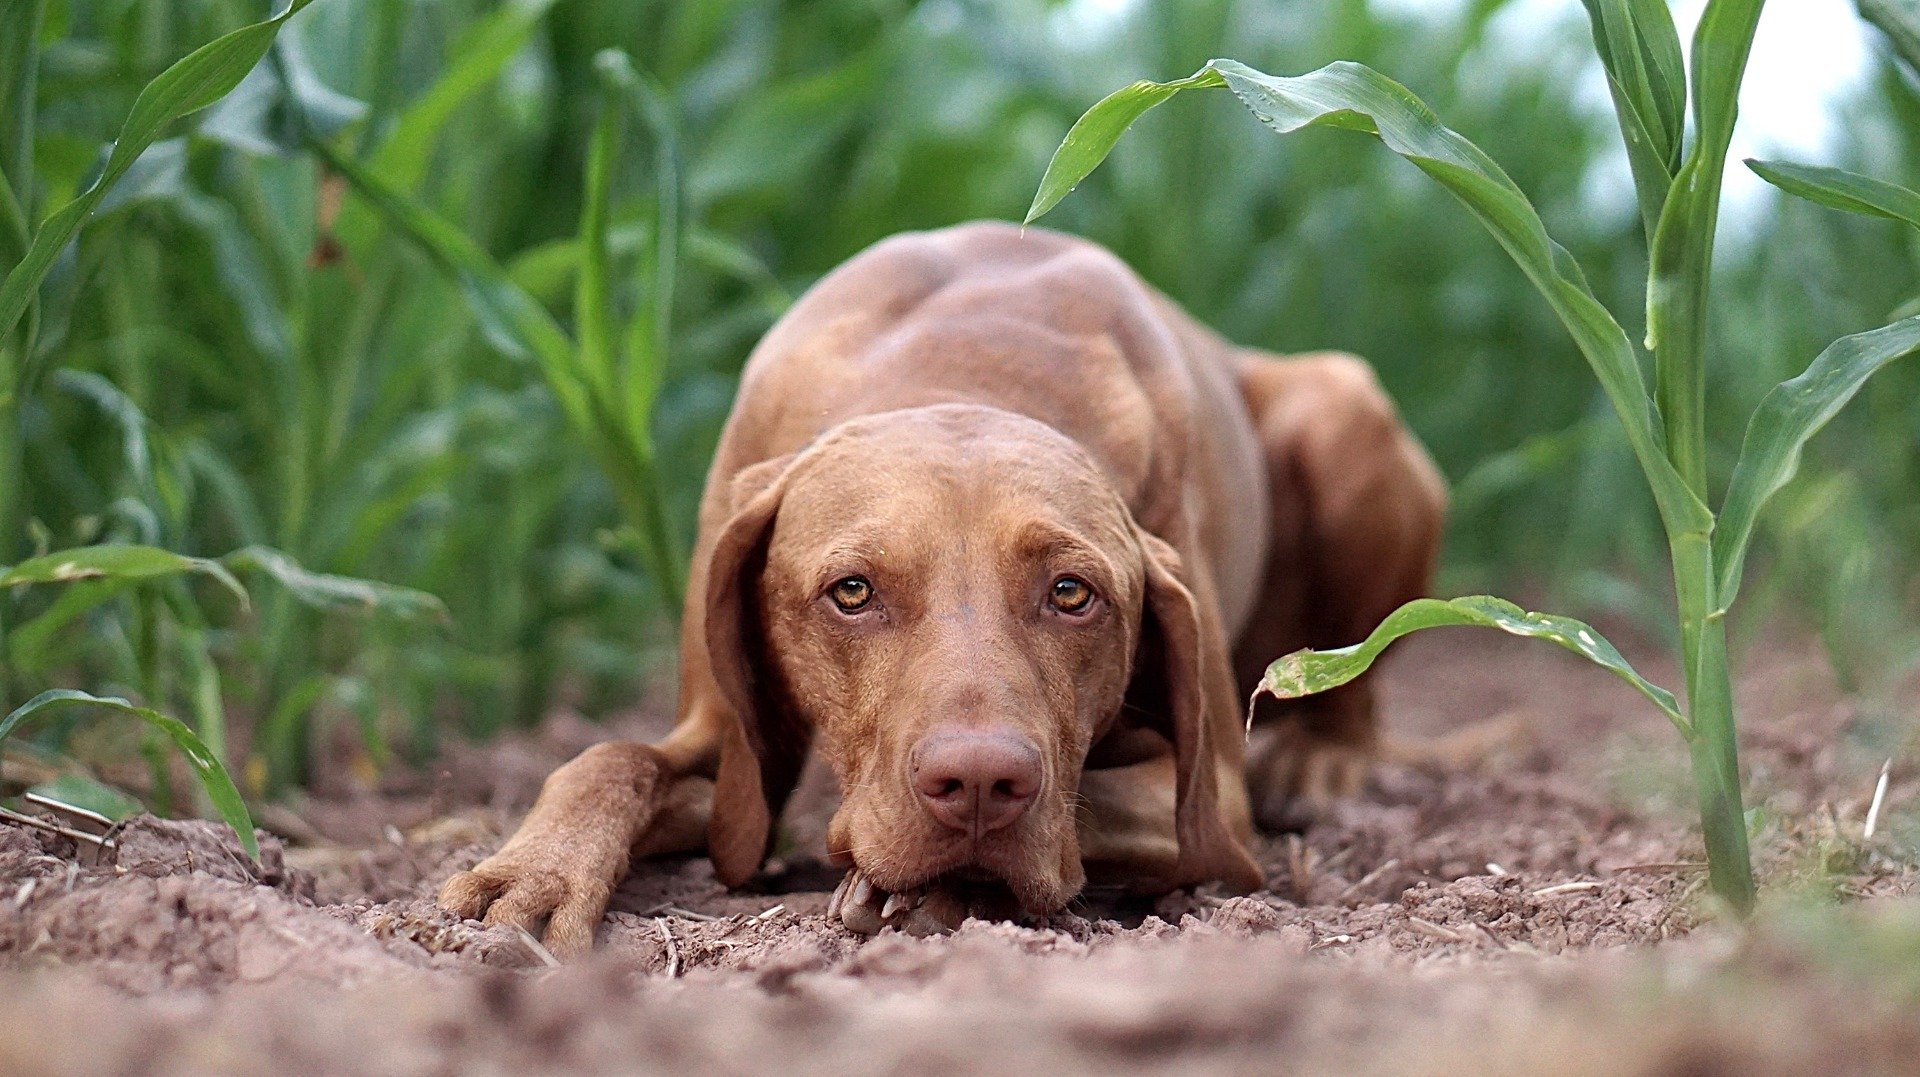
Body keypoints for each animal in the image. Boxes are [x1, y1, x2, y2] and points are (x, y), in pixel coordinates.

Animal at [441, 222, 1443, 952]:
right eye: (851, 592)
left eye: (1072, 594)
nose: (978, 783)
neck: (965, 371)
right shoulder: (722, 734)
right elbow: (612, 758)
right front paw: (532, 874)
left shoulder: (1208, 797)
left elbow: (1085, 805)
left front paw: (927, 887)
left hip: (1340, 405)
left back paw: (1320, 756)